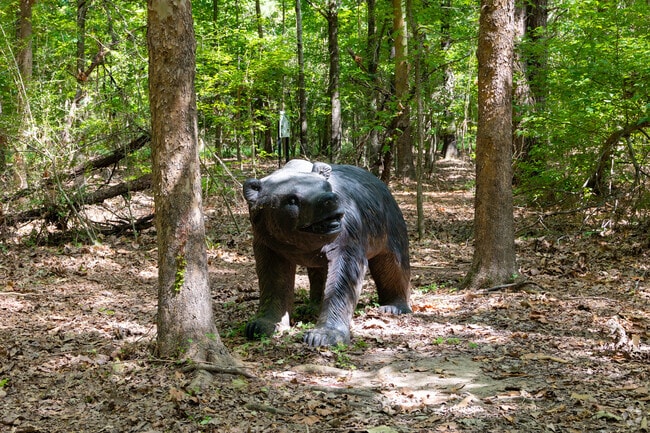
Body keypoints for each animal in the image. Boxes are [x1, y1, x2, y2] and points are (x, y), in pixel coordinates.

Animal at [243, 159, 411, 347]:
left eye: (327, 186)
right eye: (292, 199)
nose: (328, 199)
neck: (299, 244)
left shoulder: (346, 236)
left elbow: (343, 279)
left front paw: (324, 334)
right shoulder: (269, 243)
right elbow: (274, 280)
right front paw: (263, 324)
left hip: (389, 227)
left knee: (394, 264)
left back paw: (394, 306)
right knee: (319, 271)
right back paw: (312, 306)